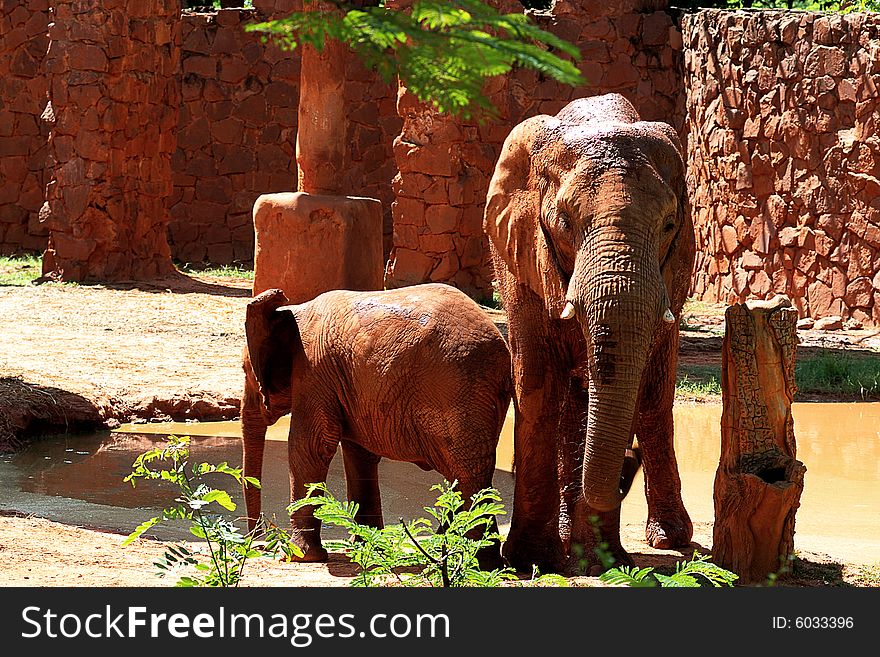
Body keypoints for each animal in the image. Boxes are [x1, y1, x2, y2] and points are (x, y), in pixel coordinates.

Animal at [241, 284, 516, 568]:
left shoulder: (313, 372)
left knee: (465, 472)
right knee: (466, 475)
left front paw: (297, 556)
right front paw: (367, 548)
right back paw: (462, 555)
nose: (258, 542)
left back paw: (474, 561)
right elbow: (358, 454)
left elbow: (310, 448)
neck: (290, 312)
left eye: (244, 371)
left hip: (457, 391)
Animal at [482, 93, 696, 576]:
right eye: (563, 222)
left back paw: (668, 538)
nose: (628, 467)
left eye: (669, 224)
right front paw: (530, 560)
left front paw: (602, 562)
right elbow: (537, 383)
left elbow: (633, 387)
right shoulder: (523, 254)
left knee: (651, 400)